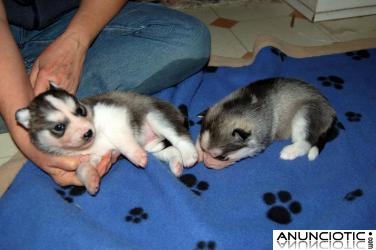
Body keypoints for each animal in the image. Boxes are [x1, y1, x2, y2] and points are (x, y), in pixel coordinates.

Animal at [16, 86, 198, 195]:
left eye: (80, 110)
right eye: (59, 127)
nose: (88, 132)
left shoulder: (115, 116)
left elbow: (123, 140)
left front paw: (136, 156)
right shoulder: (90, 158)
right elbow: (83, 169)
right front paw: (91, 180)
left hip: (155, 116)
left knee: (179, 136)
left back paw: (189, 155)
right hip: (153, 146)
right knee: (171, 150)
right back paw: (176, 165)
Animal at [198, 77, 336, 169]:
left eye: (221, 158)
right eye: (204, 150)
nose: (206, 162)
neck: (242, 107)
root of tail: (332, 114)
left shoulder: (260, 141)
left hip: (305, 114)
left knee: (306, 142)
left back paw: (290, 151)